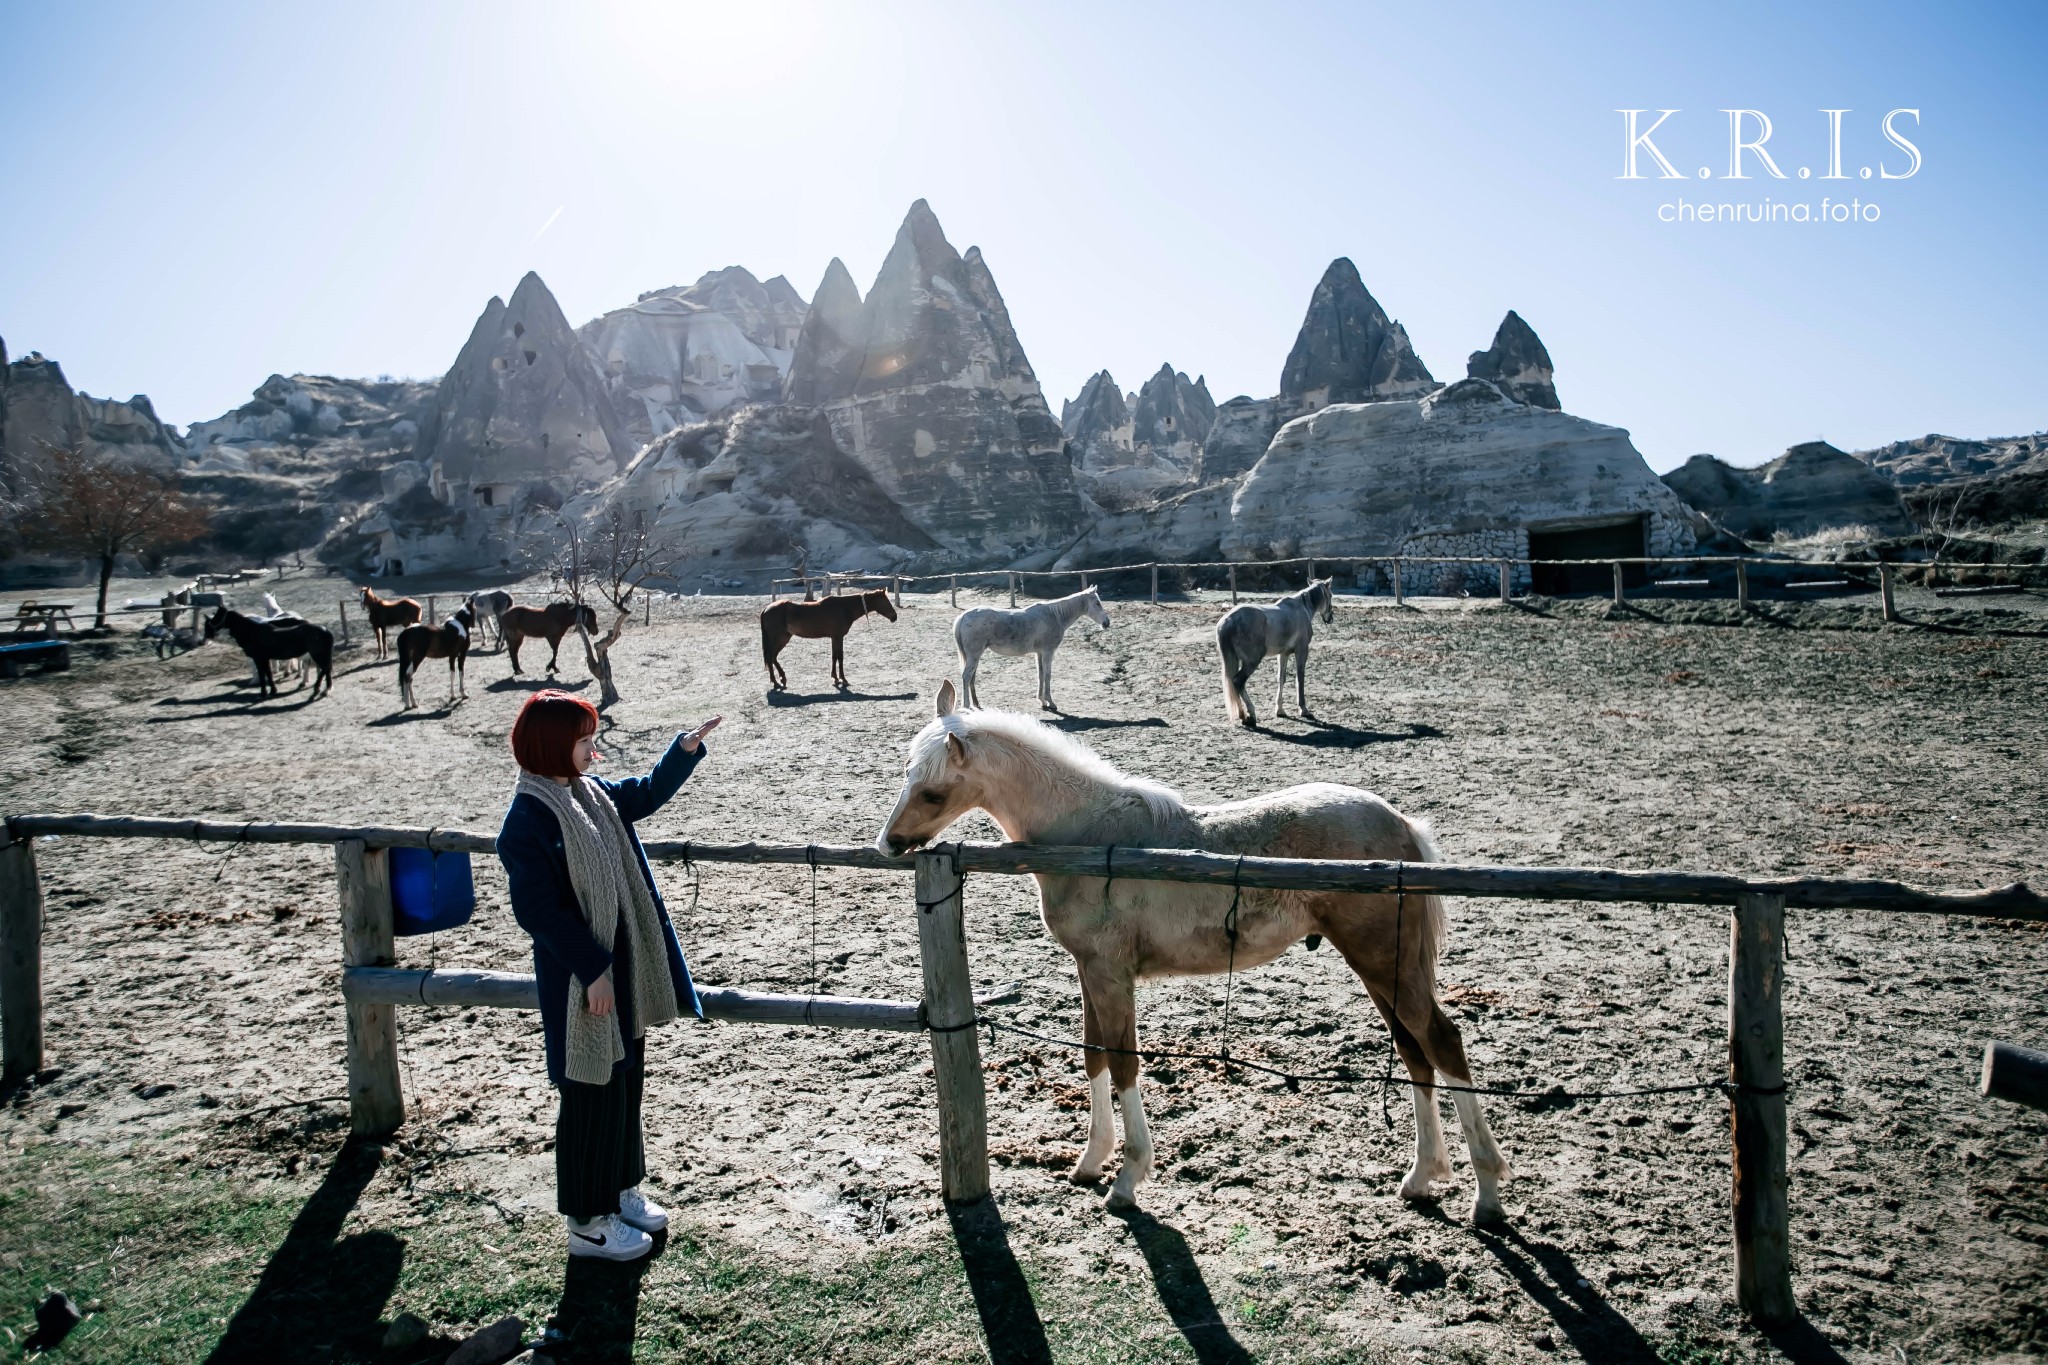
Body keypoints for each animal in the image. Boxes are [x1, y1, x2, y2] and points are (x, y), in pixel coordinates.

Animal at [203, 609, 331, 699]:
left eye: (216, 617)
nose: (206, 638)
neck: (252, 631)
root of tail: (325, 630)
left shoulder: (258, 658)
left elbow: (261, 673)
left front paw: (262, 692)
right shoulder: (265, 658)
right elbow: (268, 674)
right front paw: (273, 690)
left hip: (317, 654)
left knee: (320, 667)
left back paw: (314, 687)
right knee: (324, 668)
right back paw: (321, 688)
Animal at [761, 589, 897, 695]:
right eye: (886, 601)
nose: (894, 617)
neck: (845, 607)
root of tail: (766, 609)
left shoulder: (834, 637)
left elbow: (834, 656)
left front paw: (835, 678)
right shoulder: (838, 636)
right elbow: (840, 657)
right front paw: (843, 679)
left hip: (783, 638)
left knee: (773, 658)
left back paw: (781, 679)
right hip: (779, 639)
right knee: (771, 657)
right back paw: (776, 682)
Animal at [872, 683, 1515, 1227]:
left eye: (933, 790)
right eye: (904, 774)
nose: (889, 844)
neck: (1090, 837)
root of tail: (1401, 825)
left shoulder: (1112, 974)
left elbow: (1124, 1062)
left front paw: (1127, 1179)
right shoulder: (1090, 969)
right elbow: (1094, 1056)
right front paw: (1089, 1162)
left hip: (1383, 959)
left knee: (1442, 1041)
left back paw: (1486, 1192)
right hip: (1382, 966)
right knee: (1413, 1050)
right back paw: (1422, 1177)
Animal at [954, 589, 1114, 716]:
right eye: (1097, 603)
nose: (1106, 623)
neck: (1055, 615)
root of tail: (963, 617)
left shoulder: (1039, 653)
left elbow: (1040, 675)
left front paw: (1042, 701)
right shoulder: (1048, 652)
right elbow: (1048, 676)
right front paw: (1051, 703)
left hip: (975, 655)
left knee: (971, 677)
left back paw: (976, 704)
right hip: (974, 655)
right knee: (966, 676)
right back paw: (967, 706)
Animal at [1212, 577, 1343, 724]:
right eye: (1330, 595)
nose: (1330, 618)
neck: (1301, 608)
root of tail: (1227, 621)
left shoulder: (1283, 654)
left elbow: (1281, 679)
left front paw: (1280, 710)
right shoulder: (1302, 651)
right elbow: (1300, 678)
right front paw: (1303, 709)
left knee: (1234, 683)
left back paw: (1242, 715)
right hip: (1252, 661)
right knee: (1238, 682)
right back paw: (1250, 714)